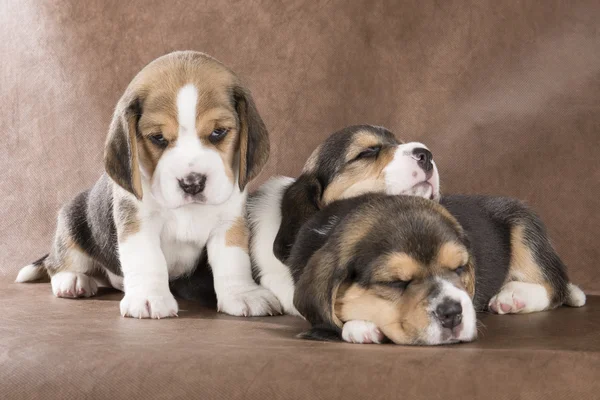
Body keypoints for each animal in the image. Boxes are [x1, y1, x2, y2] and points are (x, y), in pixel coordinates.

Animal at [15, 50, 282, 318]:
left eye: (218, 132)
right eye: (158, 138)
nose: (192, 183)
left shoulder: (230, 219)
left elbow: (233, 259)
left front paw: (243, 294)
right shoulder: (137, 221)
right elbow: (148, 259)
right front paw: (148, 297)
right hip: (73, 220)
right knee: (59, 262)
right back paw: (71, 280)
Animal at [288, 194, 584, 344]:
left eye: (460, 267)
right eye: (396, 282)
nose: (452, 313)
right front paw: (361, 325)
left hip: (524, 227)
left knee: (555, 286)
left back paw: (512, 297)